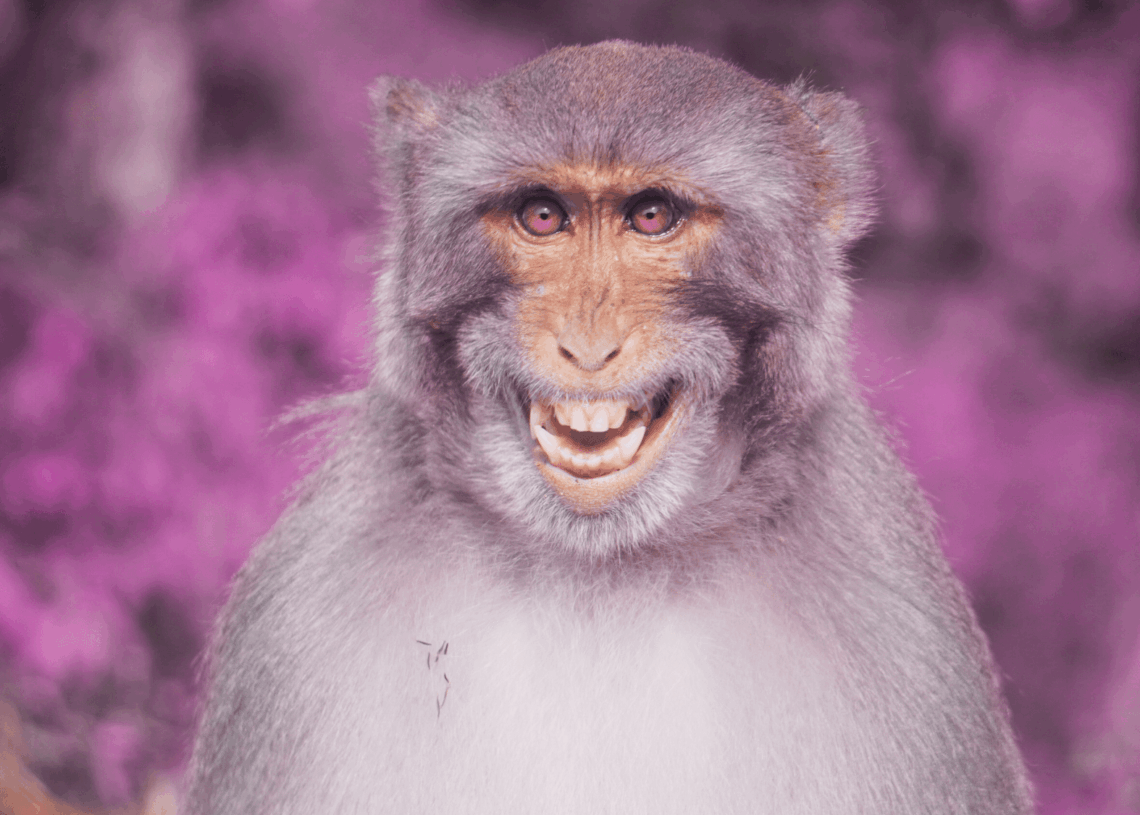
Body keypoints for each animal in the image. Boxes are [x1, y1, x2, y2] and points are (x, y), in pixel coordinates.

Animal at [183, 41, 1033, 814]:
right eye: (542, 216)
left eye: (652, 216)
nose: (587, 346)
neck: (601, 573)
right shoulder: (293, 630)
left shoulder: (912, 653)